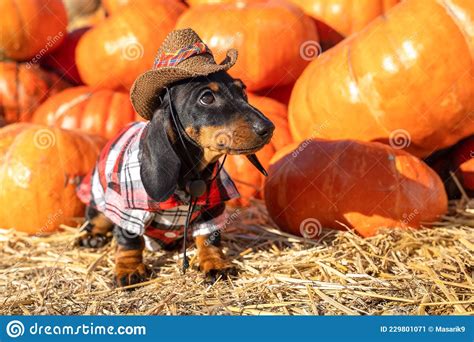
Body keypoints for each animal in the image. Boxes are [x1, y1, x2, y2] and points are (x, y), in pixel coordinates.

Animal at [75, 28, 272, 286]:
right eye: (207, 98)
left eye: (243, 91)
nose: (268, 128)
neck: (191, 174)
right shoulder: (129, 208)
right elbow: (129, 240)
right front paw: (129, 269)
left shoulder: (212, 207)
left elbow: (209, 237)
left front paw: (215, 263)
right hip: (99, 197)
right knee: (97, 219)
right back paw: (91, 237)